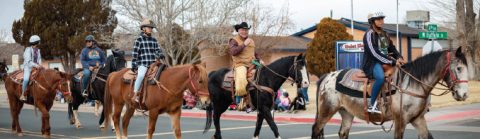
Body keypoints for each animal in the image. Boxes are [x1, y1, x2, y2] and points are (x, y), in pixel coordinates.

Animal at [312, 47, 468, 138]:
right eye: (459, 68)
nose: (464, 95)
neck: (413, 83)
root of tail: (327, 76)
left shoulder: (418, 119)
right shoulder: (400, 121)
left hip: (346, 113)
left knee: (343, 133)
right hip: (327, 110)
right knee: (316, 129)